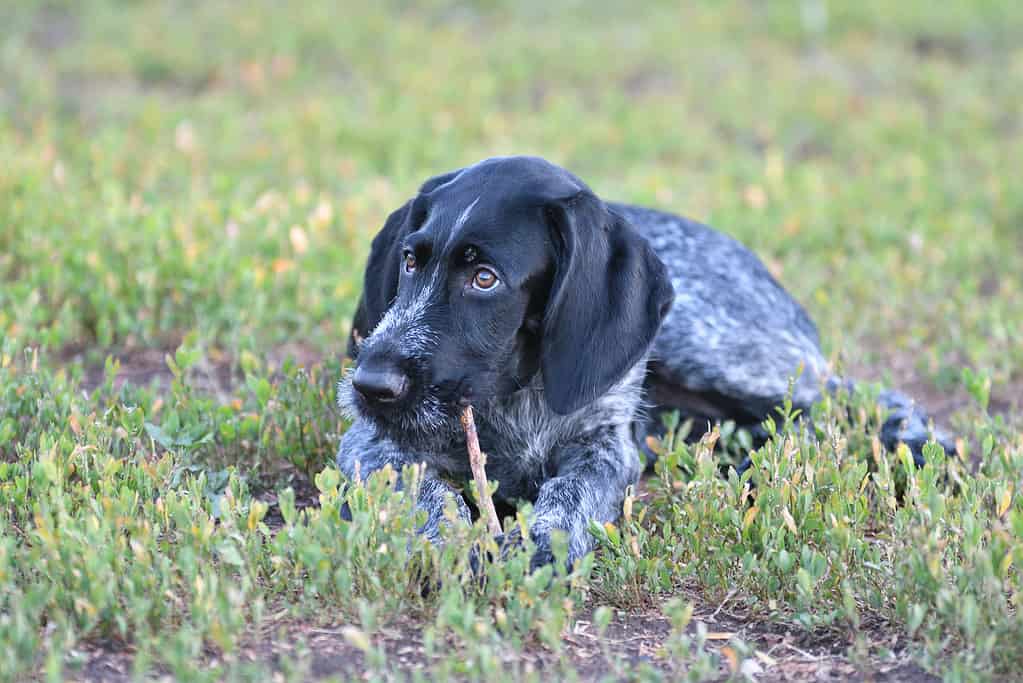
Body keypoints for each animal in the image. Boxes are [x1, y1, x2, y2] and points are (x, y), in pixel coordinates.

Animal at [335, 157, 949, 568]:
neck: (516, 396)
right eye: (410, 261)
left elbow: (571, 495)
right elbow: (424, 490)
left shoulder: (607, 448)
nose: (370, 385)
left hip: (715, 347)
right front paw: (450, 540)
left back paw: (921, 447)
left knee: (858, 395)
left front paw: (542, 546)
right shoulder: (370, 444)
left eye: (484, 278)